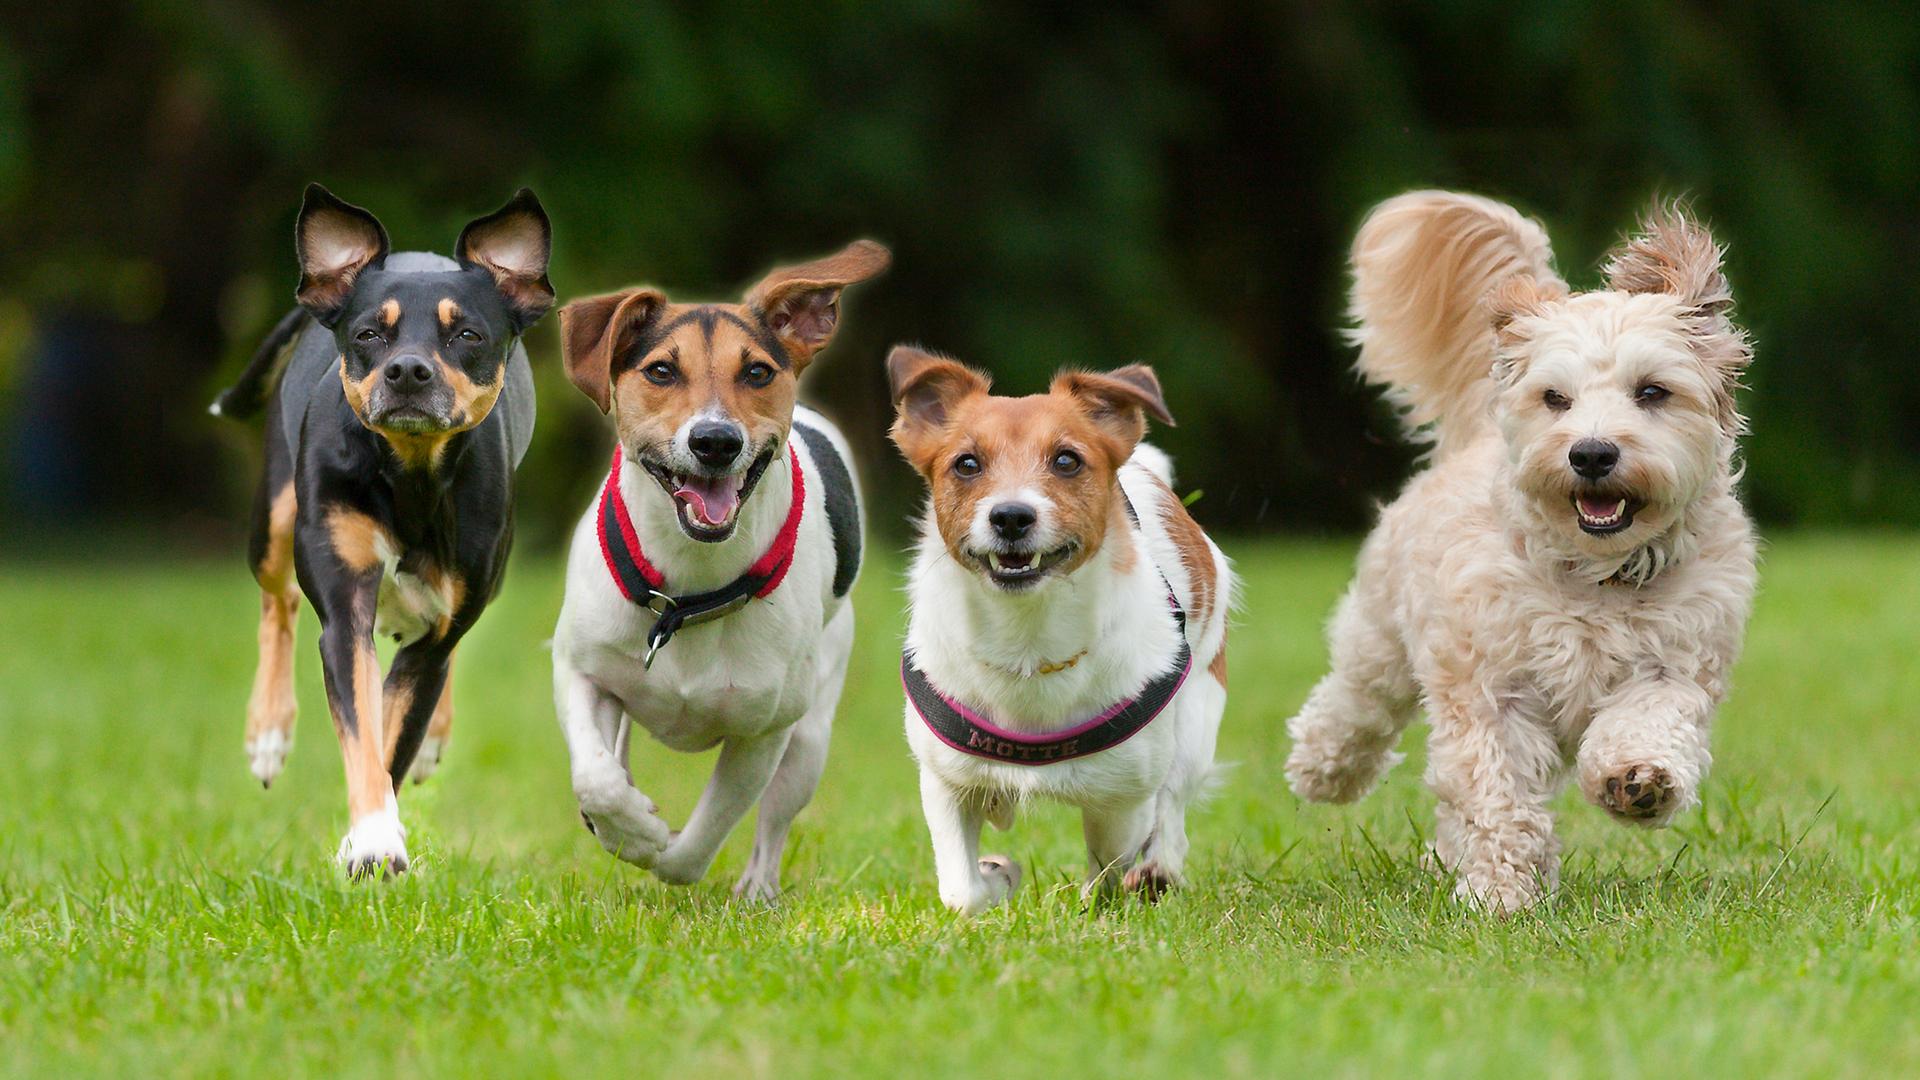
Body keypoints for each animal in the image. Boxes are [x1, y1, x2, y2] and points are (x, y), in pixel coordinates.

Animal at [212, 184, 556, 876]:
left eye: (467, 335)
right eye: (369, 333)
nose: (408, 371)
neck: (410, 478)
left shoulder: (436, 634)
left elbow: (396, 737)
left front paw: (373, 835)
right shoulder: (345, 609)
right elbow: (364, 734)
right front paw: (372, 838)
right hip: (275, 518)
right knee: (277, 602)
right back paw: (268, 731)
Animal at [552, 242, 887, 899]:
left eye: (756, 372)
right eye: (661, 371)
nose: (715, 440)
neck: (687, 592)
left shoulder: (764, 731)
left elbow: (699, 841)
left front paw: (656, 846)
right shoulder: (580, 668)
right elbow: (595, 777)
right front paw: (630, 825)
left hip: (810, 733)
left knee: (775, 819)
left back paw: (757, 890)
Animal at [883, 345, 1228, 907]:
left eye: (1067, 460)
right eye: (966, 464)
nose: (1010, 516)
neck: (1027, 638)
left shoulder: (1122, 798)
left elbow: (1109, 863)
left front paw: (1095, 897)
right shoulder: (945, 781)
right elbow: (962, 891)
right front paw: (996, 877)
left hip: (1197, 715)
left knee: (1173, 804)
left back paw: (1159, 869)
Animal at [1290, 191, 1758, 907]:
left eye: (1652, 391)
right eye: (1554, 398)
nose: (1591, 452)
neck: (1595, 578)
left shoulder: (1677, 663)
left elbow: (1649, 720)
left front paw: (1638, 779)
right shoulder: (1490, 690)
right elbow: (1496, 793)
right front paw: (1500, 892)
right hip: (1382, 635)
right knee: (1356, 701)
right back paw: (1323, 767)